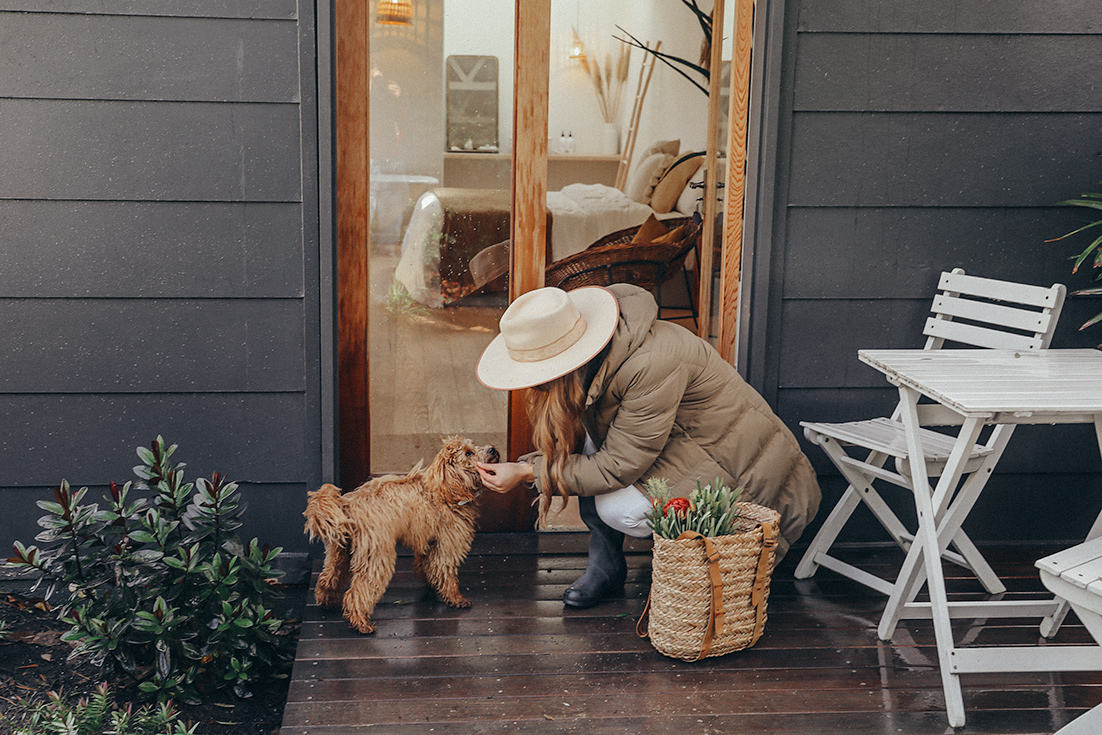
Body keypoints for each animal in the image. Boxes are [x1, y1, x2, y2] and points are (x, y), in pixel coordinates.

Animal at [304, 436, 498, 634]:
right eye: (468, 453)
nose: (492, 449)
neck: (445, 489)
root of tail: (347, 504)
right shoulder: (448, 543)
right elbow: (446, 572)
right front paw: (456, 598)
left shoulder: (428, 540)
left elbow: (427, 564)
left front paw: (431, 582)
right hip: (376, 555)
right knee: (357, 592)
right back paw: (361, 623)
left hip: (339, 551)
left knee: (328, 578)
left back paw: (327, 602)